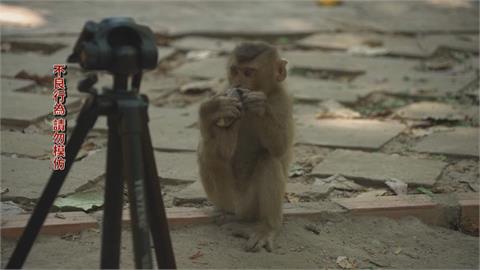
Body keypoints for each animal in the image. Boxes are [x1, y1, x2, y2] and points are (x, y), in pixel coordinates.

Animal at [197, 41, 294, 252]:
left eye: (248, 72)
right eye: (235, 71)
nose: (238, 85)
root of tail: (239, 210)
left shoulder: (282, 99)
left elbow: (280, 147)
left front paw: (260, 106)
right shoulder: (224, 90)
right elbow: (223, 152)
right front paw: (212, 110)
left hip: (251, 207)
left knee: (268, 159)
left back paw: (267, 227)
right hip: (226, 198)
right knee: (207, 153)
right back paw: (226, 215)